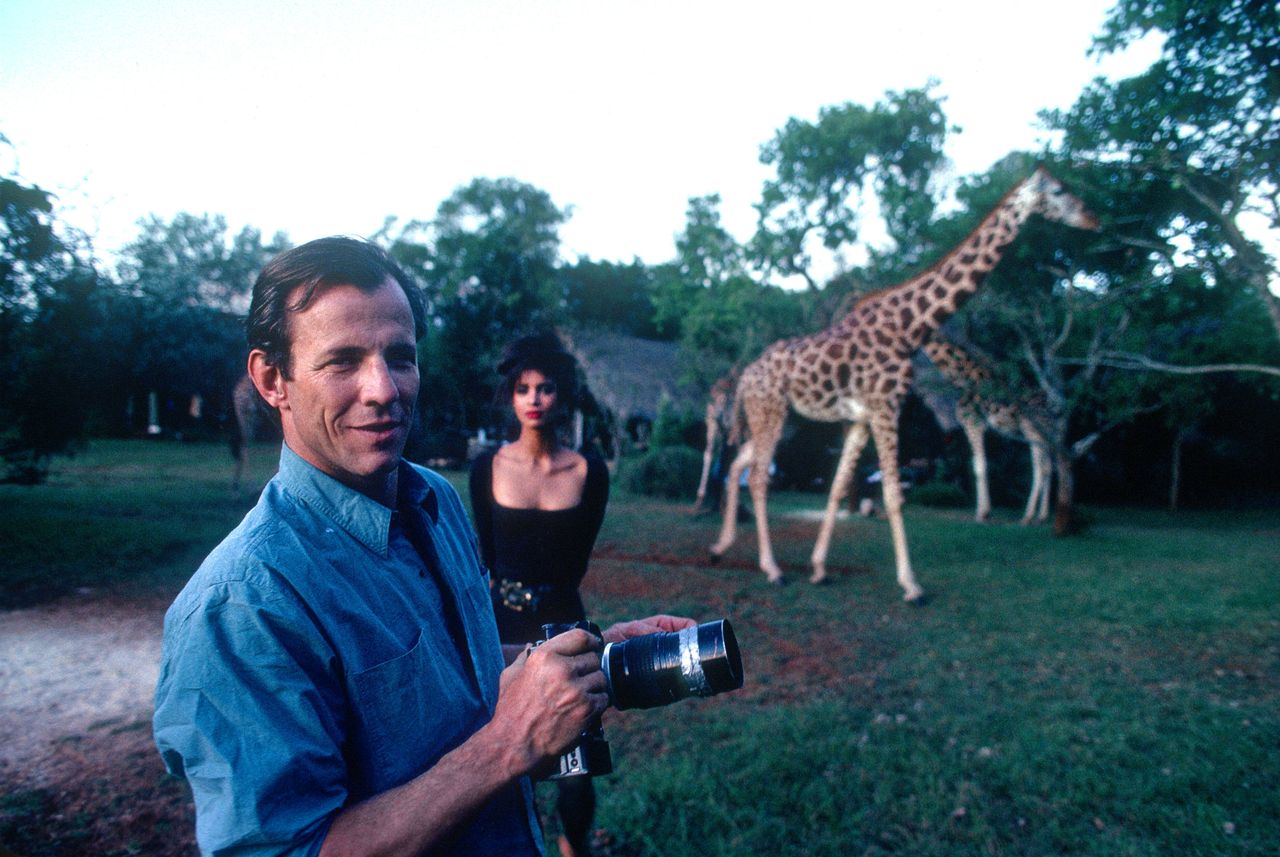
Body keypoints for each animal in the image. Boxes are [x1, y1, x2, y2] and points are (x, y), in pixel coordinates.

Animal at [926, 335, 1054, 524]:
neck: (960, 375)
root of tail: (1051, 404)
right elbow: (980, 465)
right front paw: (985, 511)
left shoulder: (973, 423)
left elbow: (979, 466)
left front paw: (982, 513)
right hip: (1048, 432)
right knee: (1050, 467)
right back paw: (1042, 515)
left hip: (1032, 429)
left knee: (1040, 468)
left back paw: (1028, 516)